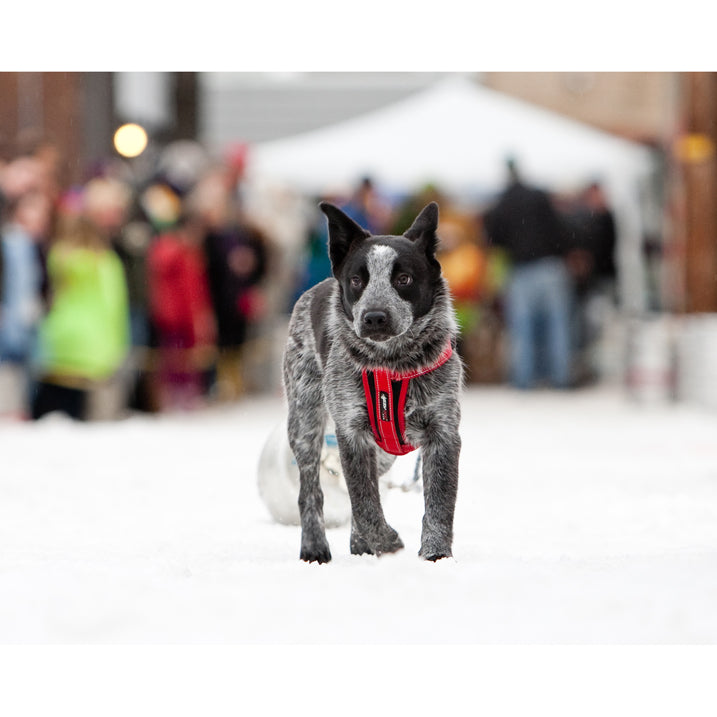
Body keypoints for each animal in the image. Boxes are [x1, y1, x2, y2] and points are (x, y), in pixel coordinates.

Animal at [282, 200, 462, 560]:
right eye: (356, 280)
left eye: (404, 278)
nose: (375, 317)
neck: (392, 364)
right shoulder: (351, 433)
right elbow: (364, 503)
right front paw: (388, 542)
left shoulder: (443, 432)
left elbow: (438, 504)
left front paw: (435, 556)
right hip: (304, 422)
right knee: (312, 491)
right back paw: (315, 547)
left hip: (383, 453)